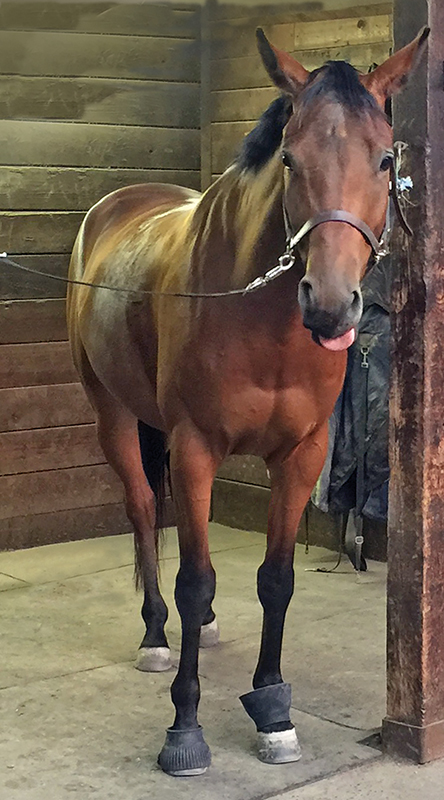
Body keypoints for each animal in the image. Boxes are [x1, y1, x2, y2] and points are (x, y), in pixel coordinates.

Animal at [67, 27, 429, 776]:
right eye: (290, 159)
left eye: (384, 159)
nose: (329, 306)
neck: (264, 325)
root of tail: (116, 206)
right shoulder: (196, 448)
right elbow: (197, 578)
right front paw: (185, 729)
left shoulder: (302, 454)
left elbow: (276, 580)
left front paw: (273, 711)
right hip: (112, 414)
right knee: (143, 509)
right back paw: (156, 635)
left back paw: (199, 630)